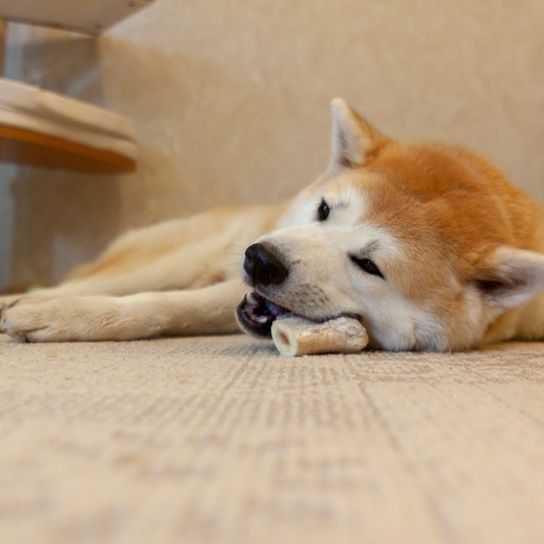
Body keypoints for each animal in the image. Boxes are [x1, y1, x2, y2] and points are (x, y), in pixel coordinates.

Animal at [1, 99, 544, 352]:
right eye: (324, 210)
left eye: (369, 264)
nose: (259, 259)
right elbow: (158, 304)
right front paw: (64, 315)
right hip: (169, 258)